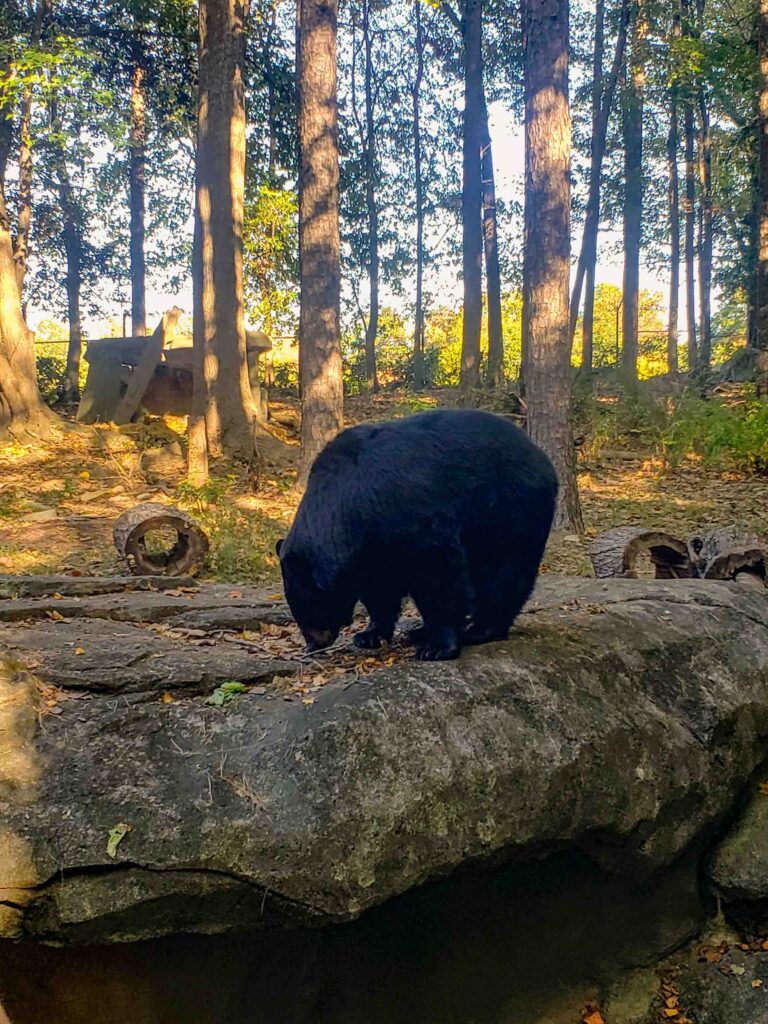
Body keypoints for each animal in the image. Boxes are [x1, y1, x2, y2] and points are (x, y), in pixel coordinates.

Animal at [276, 408, 558, 661]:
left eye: (305, 605)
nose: (313, 643)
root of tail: (541, 455)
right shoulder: (371, 545)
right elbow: (380, 584)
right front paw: (369, 634)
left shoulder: (406, 515)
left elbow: (438, 573)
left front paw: (438, 646)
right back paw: (421, 631)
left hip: (509, 506)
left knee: (504, 568)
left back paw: (481, 629)